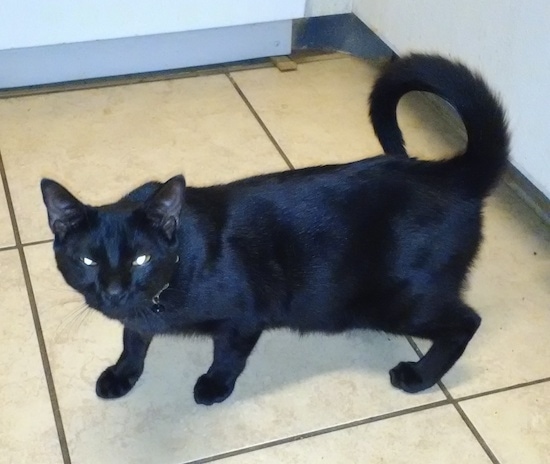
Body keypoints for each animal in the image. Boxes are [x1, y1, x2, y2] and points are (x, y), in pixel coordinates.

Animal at [41, 54, 512, 404]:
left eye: (141, 258)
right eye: (87, 260)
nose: (114, 290)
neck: (183, 263)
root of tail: (451, 175)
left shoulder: (245, 317)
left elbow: (227, 353)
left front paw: (214, 386)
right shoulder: (137, 315)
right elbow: (133, 338)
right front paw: (123, 374)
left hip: (397, 299)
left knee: (466, 321)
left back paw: (419, 375)